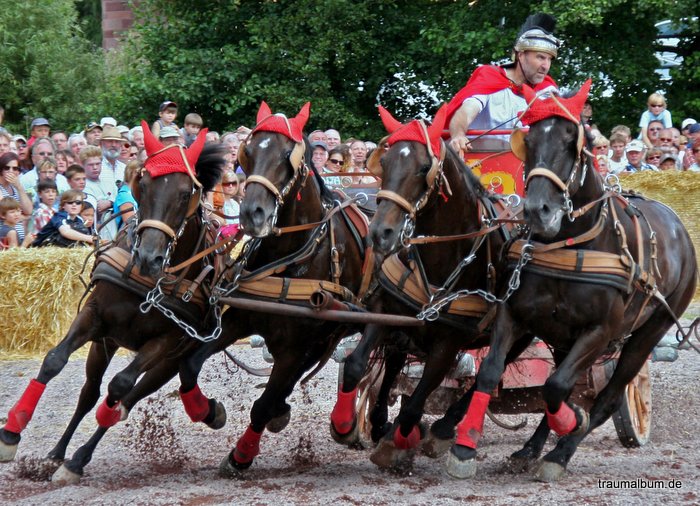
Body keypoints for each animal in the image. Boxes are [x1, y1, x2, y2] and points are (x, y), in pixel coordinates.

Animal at [0, 125, 227, 482]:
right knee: (88, 394)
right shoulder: (95, 318)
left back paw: (78, 458)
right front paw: (11, 432)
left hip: (168, 358)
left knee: (129, 395)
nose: (148, 256)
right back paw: (57, 453)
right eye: (142, 185)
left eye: (185, 193)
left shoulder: (166, 341)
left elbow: (120, 387)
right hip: (104, 343)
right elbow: (54, 361)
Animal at [446, 81, 696, 480]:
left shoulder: (600, 331)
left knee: (606, 396)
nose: (537, 210)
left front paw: (571, 425)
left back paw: (560, 452)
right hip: (562, 337)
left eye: (572, 142)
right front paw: (463, 447)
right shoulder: (515, 316)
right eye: (529, 141)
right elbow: (491, 372)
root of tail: (676, 223)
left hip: (647, 333)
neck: (571, 244)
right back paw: (531, 449)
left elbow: (557, 386)